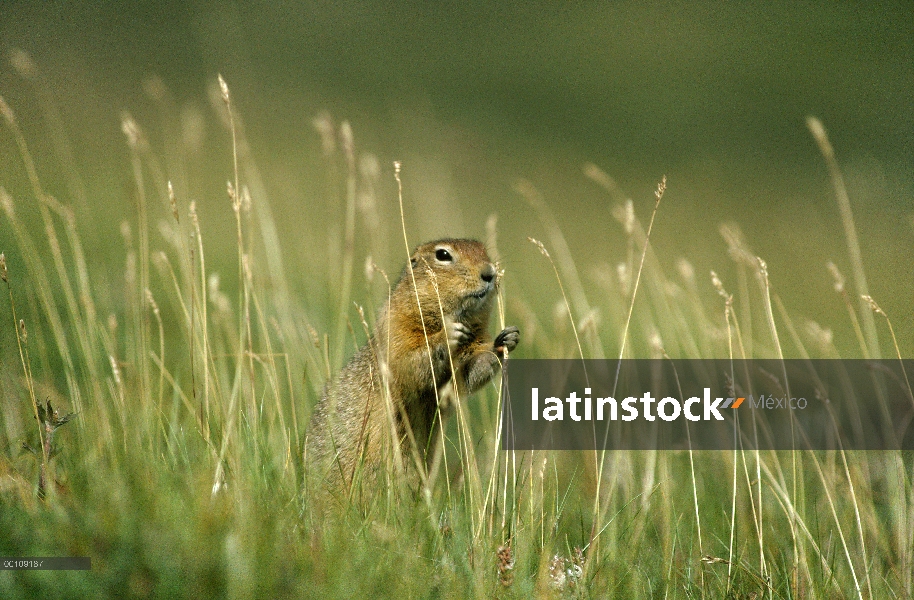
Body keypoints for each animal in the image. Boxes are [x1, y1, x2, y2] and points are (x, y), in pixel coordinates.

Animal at [308, 239, 516, 496]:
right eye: (443, 255)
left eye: (483, 250)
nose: (489, 272)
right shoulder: (396, 330)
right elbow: (409, 363)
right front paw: (448, 335)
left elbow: (464, 377)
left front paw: (505, 341)